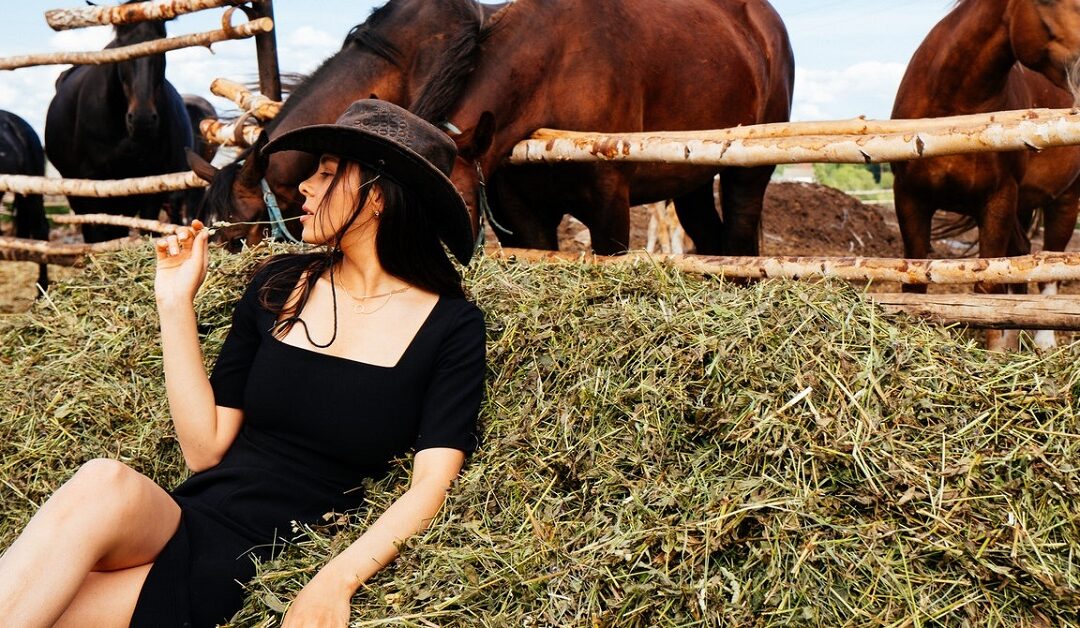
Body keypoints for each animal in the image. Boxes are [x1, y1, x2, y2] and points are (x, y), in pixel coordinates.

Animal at [44, 11, 192, 245]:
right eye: (121, 44)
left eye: (162, 43)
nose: (142, 120)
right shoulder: (91, 185)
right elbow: (97, 232)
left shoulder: (151, 183)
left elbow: (148, 226)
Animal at [889, 0, 1080, 348]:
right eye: (1045, 2)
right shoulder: (910, 198)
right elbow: (914, 285)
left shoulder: (997, 200)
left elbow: (987, 288)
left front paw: (993, 352)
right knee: (1022, 256)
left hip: (1065, 199)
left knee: (1050, 264)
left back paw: (1043, 343)